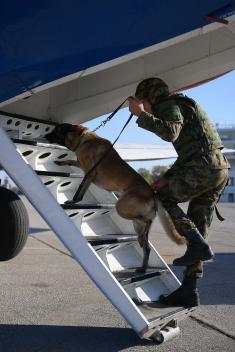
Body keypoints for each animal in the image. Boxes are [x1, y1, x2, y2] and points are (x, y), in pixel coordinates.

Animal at [45, 124, 185, 272]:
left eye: (56, 130)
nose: (45, 135)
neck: (83, 139)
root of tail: (152, 193)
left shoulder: (89, 173)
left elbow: (80, 190)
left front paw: (73, 201)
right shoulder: (82, 166)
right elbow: (71, 161)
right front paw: (60, 162)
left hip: (121, 208)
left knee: (147, 222)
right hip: (137, 225)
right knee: (146, 247)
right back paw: (142, 268)